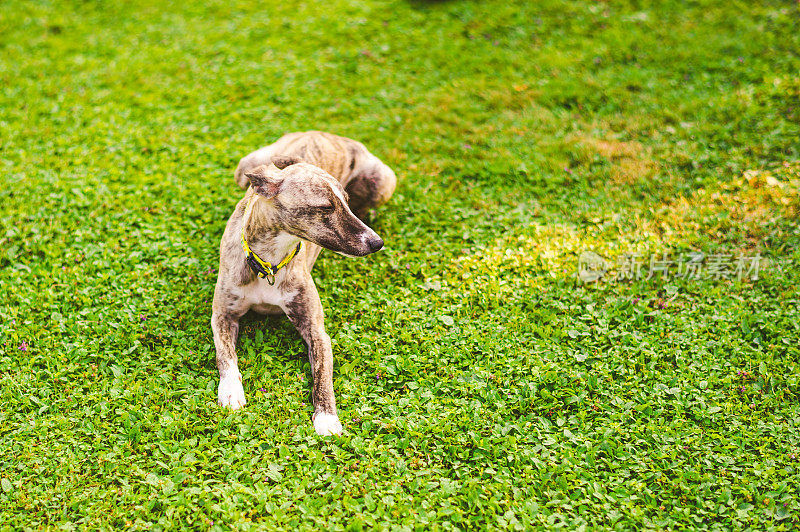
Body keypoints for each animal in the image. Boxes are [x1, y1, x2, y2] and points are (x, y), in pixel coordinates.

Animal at [211, 131, 396, 434]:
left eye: (344, 202)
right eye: (325, 207)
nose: (376, 243)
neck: (269, 263)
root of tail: (322, 133)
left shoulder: (316, 330)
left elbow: (323, 377)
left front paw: (327, 418)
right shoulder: (223, 315)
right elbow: (225, 356)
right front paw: (230, 391)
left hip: (382, 180)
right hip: (246, 165)